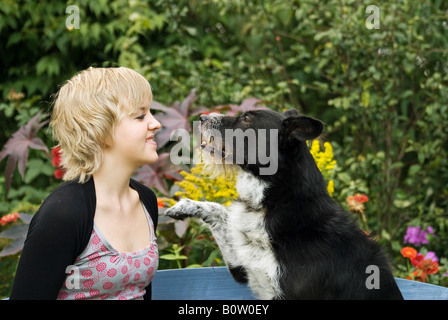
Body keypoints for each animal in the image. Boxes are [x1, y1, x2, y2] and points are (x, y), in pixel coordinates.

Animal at [164, 109, 402, 298]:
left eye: (246, 119)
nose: (202, 117)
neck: (278, 200)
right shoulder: (243, 267)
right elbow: (220, 211)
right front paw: (185, 206)